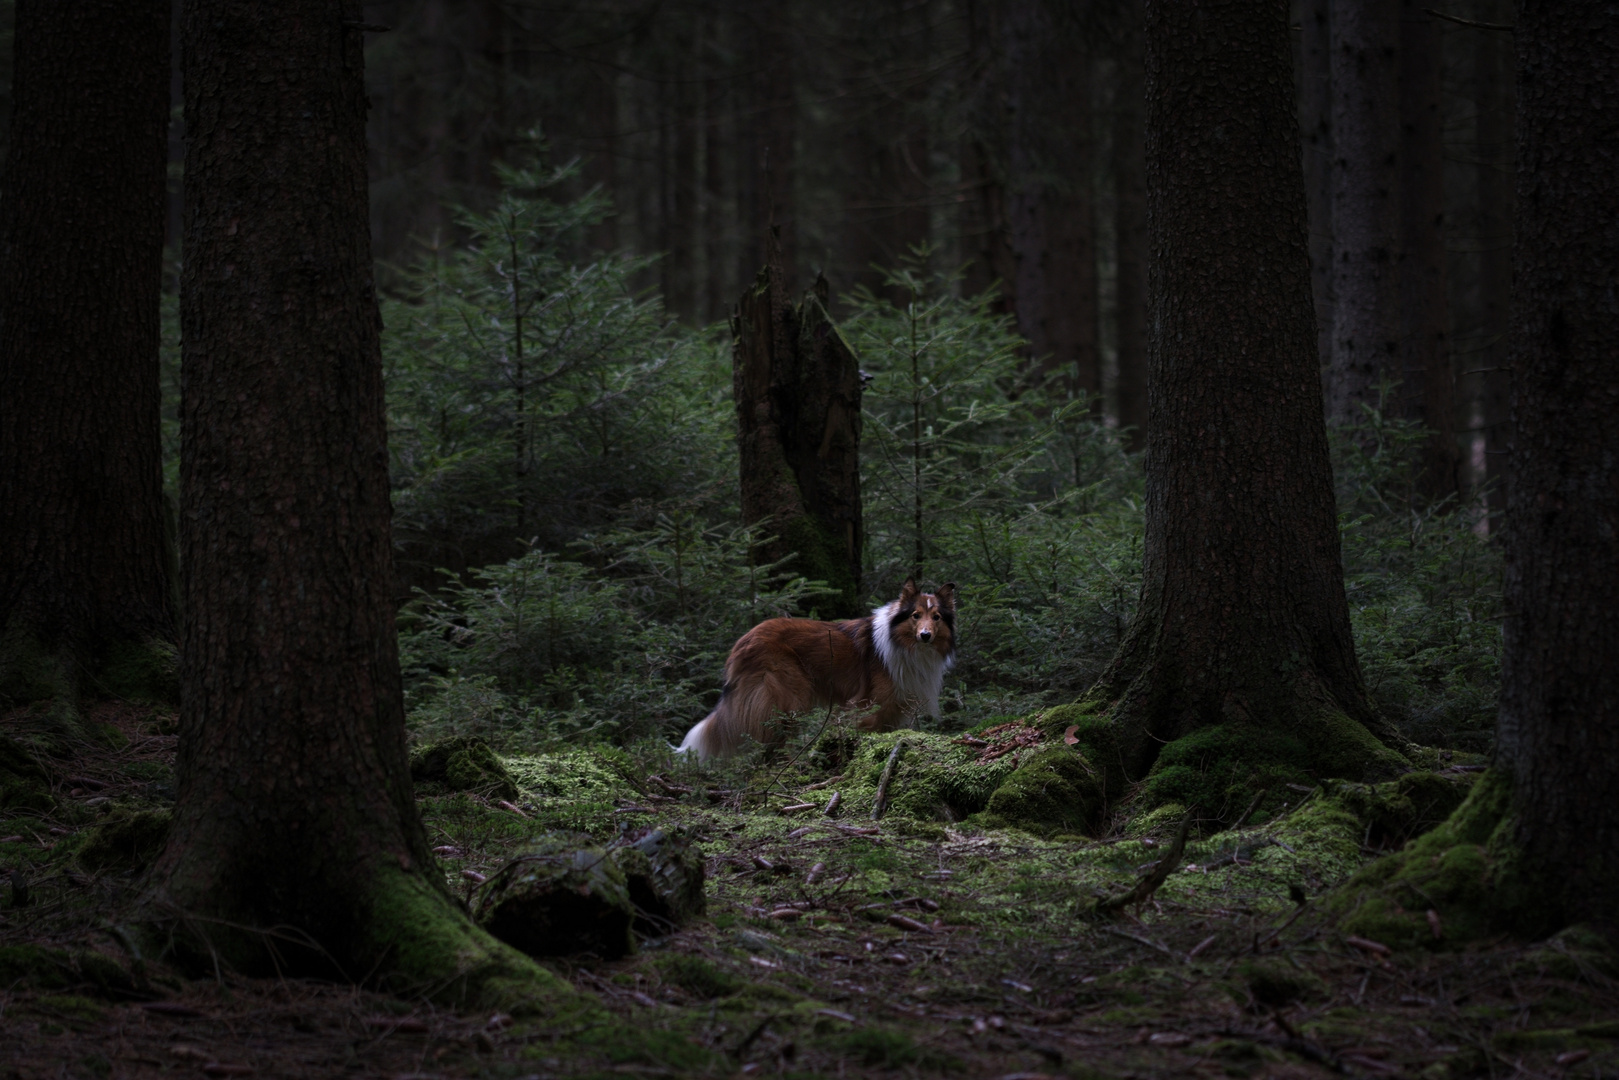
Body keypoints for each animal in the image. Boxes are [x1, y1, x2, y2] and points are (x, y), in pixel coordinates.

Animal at [673, 582, 951, 761]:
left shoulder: (893, 711)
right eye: (915, 615)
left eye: (936, 617)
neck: (900, 643)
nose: (925, 636)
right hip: (789, 696)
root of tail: (742, 642)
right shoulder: (868, 706)